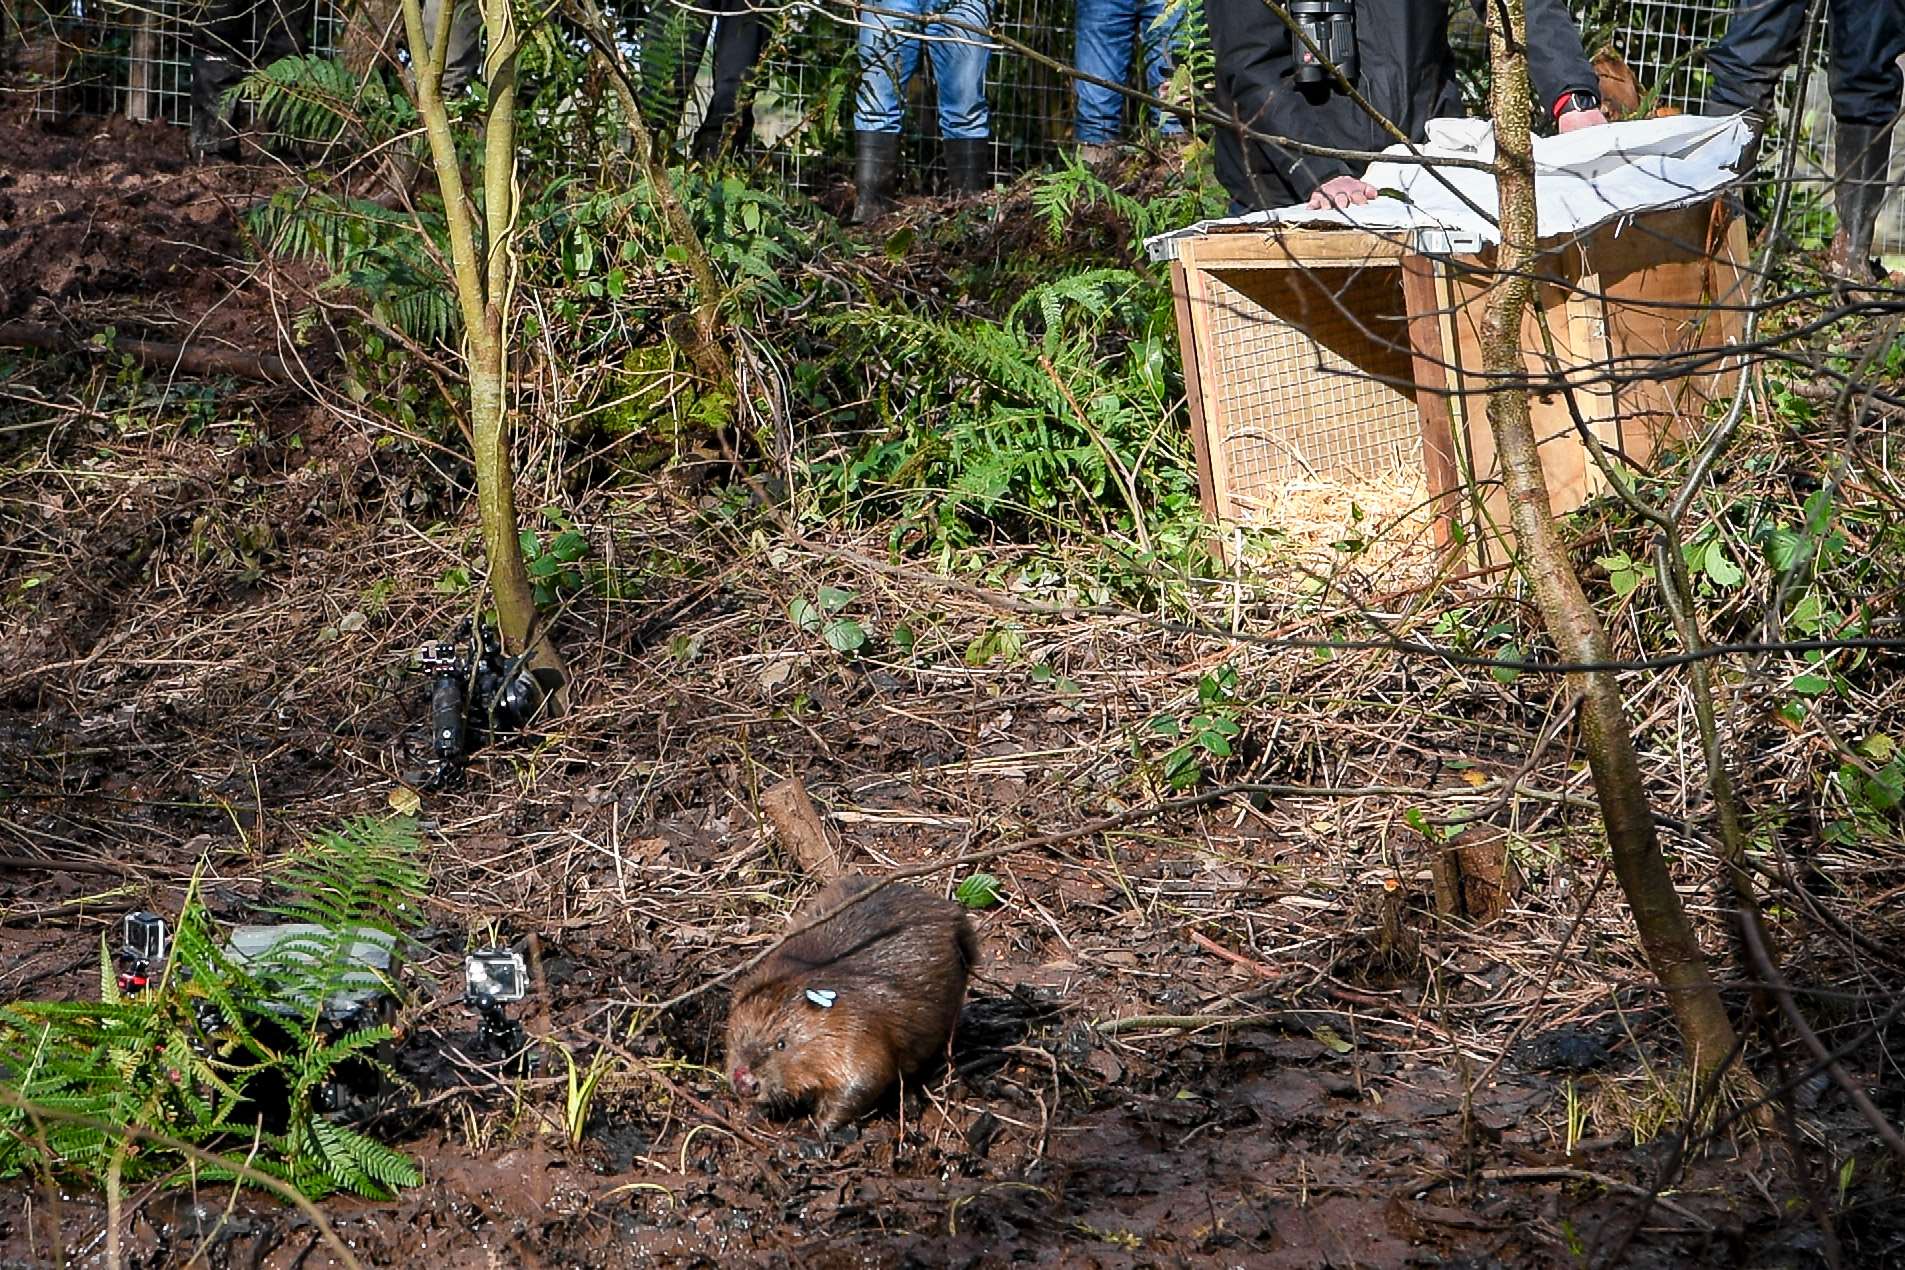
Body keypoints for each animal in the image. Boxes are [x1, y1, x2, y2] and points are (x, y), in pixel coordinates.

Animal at [716, 875, 975, 1134]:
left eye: (781, 1043)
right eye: (738, 1035)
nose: (744, 1082)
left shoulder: (857, 1031)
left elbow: (862, 1081)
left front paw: (815, 1127)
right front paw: (759, 1111)